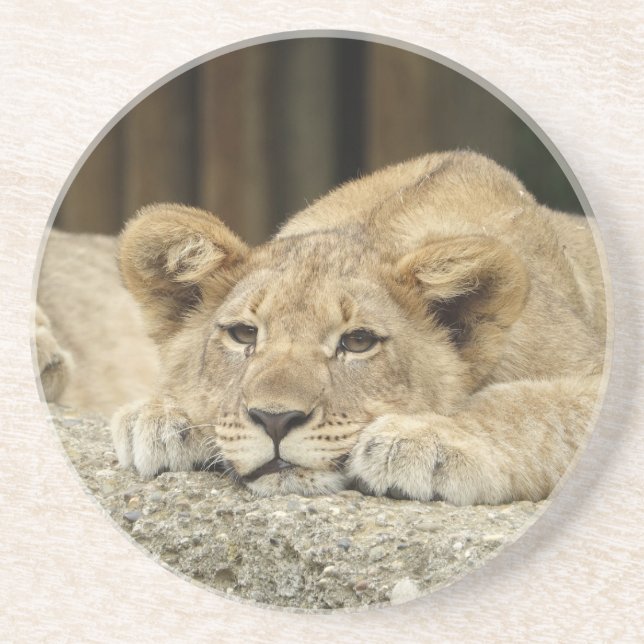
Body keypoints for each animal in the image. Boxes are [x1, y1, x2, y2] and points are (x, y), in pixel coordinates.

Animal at [36, 151, 607, 505]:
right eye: (244, 335)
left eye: (357, 342)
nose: (275, 420)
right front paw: (163, 418)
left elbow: (531, 408)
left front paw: (423, 441)